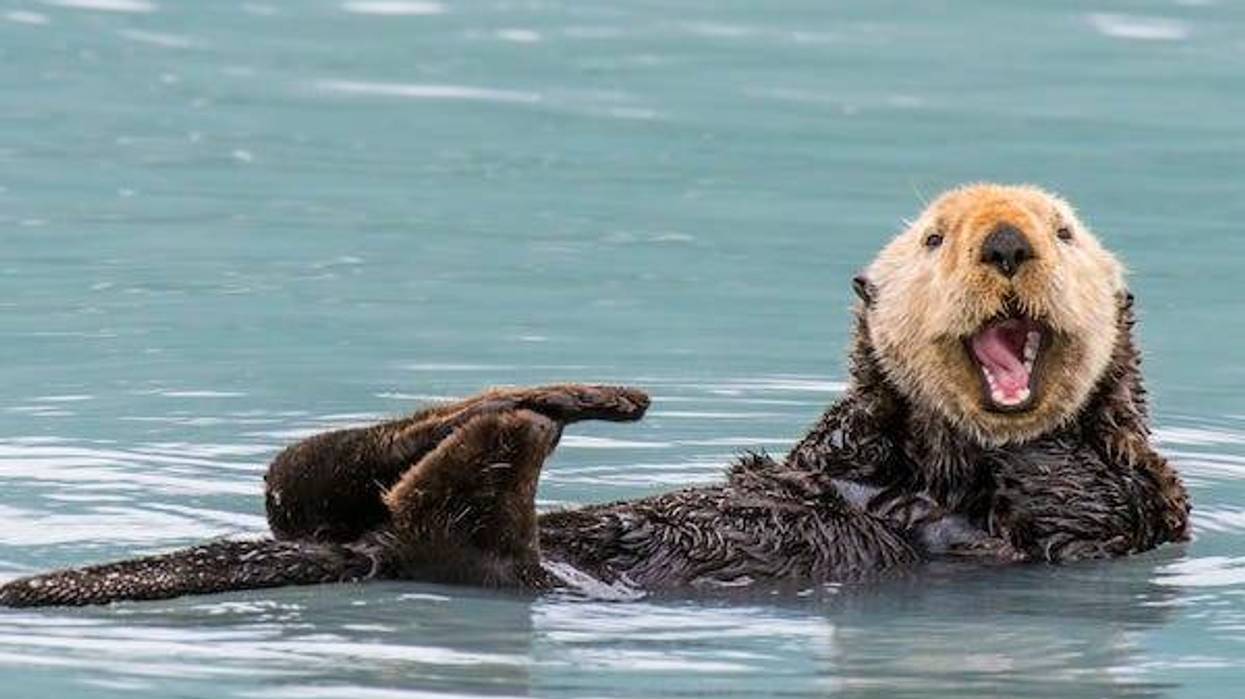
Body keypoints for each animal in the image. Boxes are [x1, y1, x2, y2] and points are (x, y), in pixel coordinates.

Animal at [0, 184, 1190, 607]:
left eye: (1064, 231)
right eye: (937, 237)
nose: (1005, 242)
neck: (940, 456)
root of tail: (358, 552)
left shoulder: (1127, 504)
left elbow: (1064, 495)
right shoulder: (835, 451)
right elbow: (820, 453)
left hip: (505, 565)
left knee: (438, 524)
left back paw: (525, 423)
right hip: (349, 514)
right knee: (303, 479)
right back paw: (558, 399)